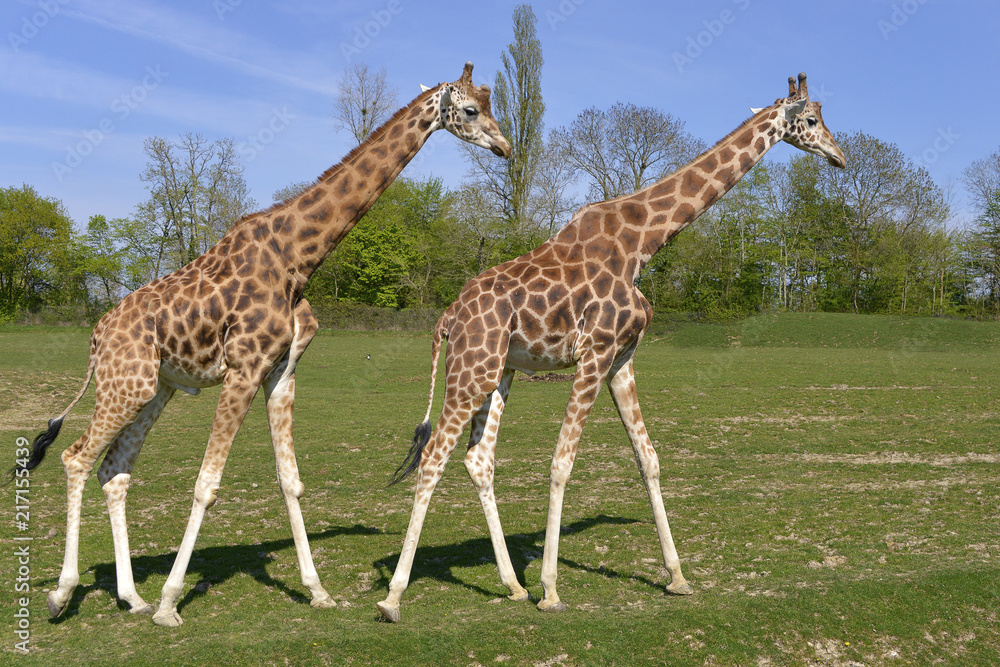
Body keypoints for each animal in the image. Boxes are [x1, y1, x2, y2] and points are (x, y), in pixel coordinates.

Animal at [16, 62, 510, 628]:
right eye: (470, 109)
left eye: (491, 106)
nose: (505, 147)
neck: (297, 257)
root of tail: (97, 337)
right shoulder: (244, 368)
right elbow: (206, 484)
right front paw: (170, 603)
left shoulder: (281, 372)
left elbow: (290, 480)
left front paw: (317, 591)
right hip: (126, 382)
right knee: (76, 458)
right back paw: (63, 594)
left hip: (156, 388)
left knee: (114, 469)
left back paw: (131, 597)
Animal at [376, 73, 845, 622]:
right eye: (811, 120)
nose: (839, 156)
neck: (643, 243)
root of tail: (448, 318)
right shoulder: (595, 353)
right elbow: (561, 463)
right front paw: (551, 590)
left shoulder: (623, 358)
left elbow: (649, 458)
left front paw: (678, 578)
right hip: (470, 370)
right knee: (433, 457)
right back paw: (394, 597)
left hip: (499, 372)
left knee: (478, 458)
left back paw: (511, 585)